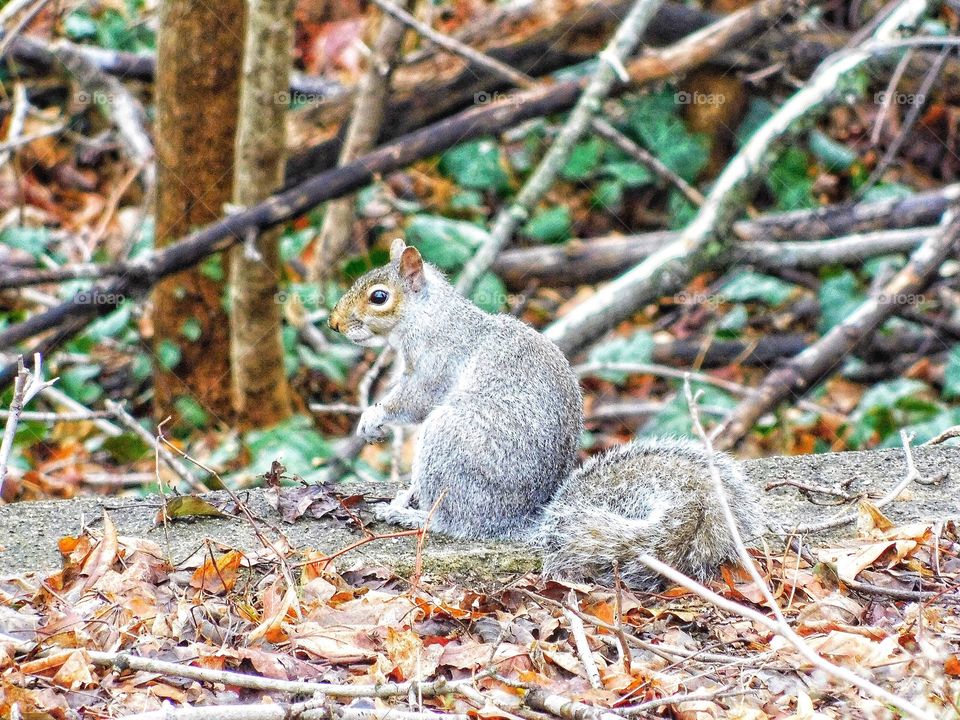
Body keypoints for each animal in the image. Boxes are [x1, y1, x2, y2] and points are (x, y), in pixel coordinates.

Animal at [332, 239, 764, 588]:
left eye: (379, 297)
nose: (335, 323)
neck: (430, 317)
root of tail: (517, 522)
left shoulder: (438, 363)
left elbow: (416, 400)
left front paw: (374, 416)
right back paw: (409, 497)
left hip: (450, 438)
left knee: (455, 522)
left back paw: (411, 516)